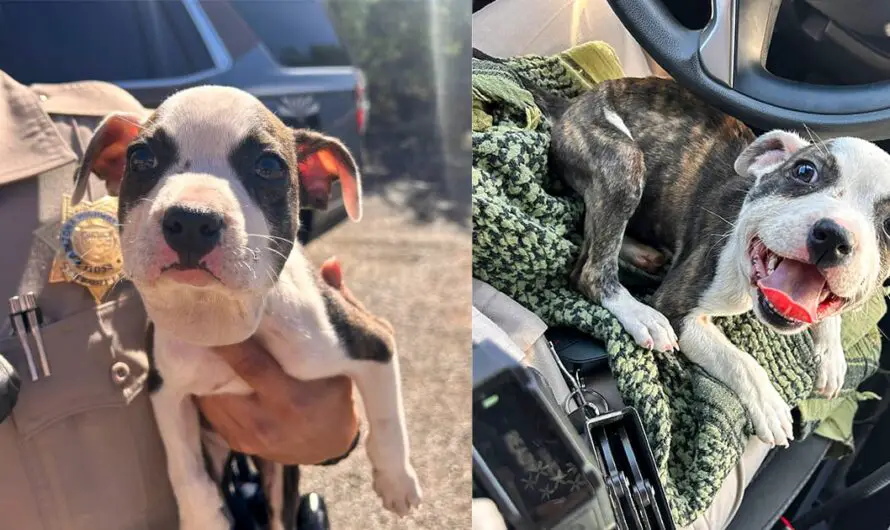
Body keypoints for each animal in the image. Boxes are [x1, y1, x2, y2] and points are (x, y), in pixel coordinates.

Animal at [67, 86, 422, 528]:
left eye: (268, 166)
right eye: (141, 159)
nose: (190, 219)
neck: (217, 315)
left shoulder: (370, 339)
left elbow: (388, 416)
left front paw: (396, 481)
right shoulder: (166, 390)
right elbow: (184, 468)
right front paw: (203, 517)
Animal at [540, 78, 888, 448]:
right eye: (805, 171)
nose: (834, 235)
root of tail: (575, 104)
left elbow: (830, 314)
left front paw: (831, 354)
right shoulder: (679, 308)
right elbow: (739, 360)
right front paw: (768, 404)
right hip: (624, 164)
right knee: (591, 267)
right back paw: (640, 315)